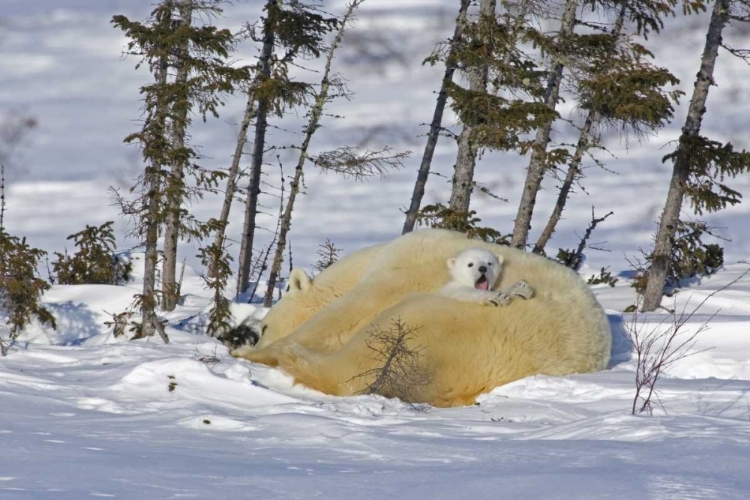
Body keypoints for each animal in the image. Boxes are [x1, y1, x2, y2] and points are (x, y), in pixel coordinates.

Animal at [234, 229, 612, 406]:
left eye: (265, 326)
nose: (254, 335)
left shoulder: (407, 264)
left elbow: (352, 311)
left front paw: (253, 351)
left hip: (465, 324)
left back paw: (291, 357)